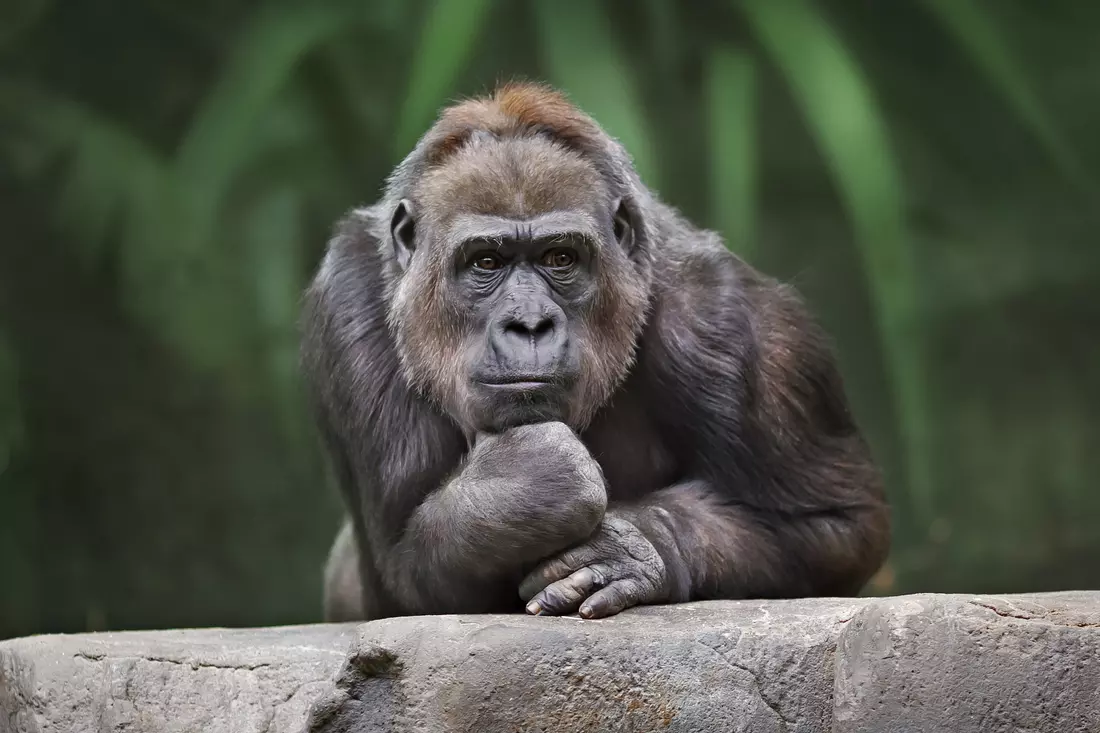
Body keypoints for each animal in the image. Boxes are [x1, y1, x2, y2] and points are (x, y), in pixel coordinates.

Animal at [299, 79, 884, 620]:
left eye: (560, 258)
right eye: (486, 262)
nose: (529, 325)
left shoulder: (731, 321)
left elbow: (832, 527)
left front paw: (641, 545)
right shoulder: (346, 294)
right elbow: (402, 573)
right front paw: (524, 481)